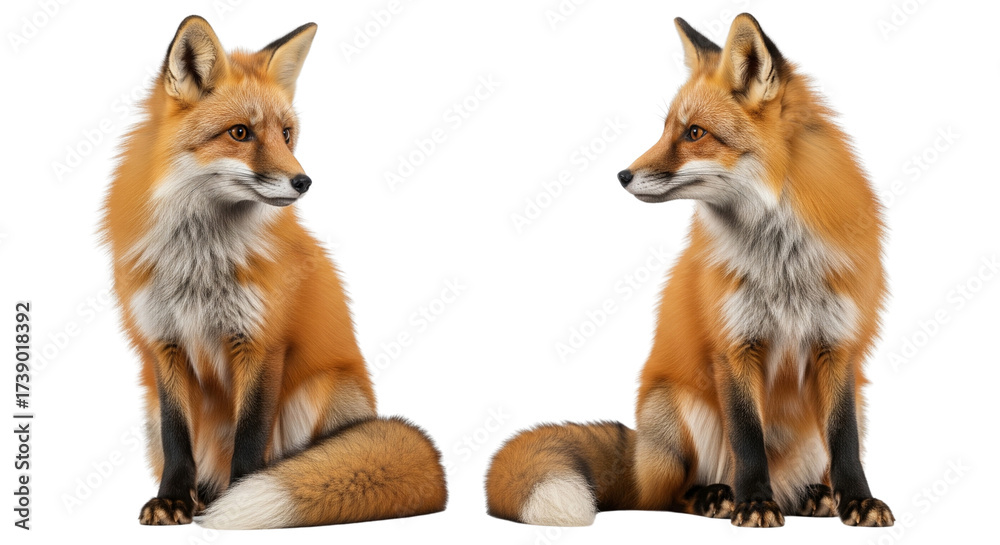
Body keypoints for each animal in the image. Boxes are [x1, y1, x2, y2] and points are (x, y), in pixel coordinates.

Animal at [99, 16, 447, 528]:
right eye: (240, 132)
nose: (304, 182)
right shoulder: (163, 343)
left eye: (286, 134)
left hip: (318, 391)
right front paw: (174, 499)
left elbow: (251, 432)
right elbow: (176, 435)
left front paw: (240, 494)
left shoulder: (261, 340)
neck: (200, 261)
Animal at [486, 14, 894, 528]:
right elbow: (747, 439)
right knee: (668, 495)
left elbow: (845, 443)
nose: (622, 175)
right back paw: (719, 497)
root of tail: (639, 458)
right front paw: (753, 504)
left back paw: (812, 496)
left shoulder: (839, 346)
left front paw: (858, 500)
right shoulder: (733, 345)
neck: (781, 261)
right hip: (675, 409)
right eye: (665, 130)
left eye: (694, 133)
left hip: (856, 402)